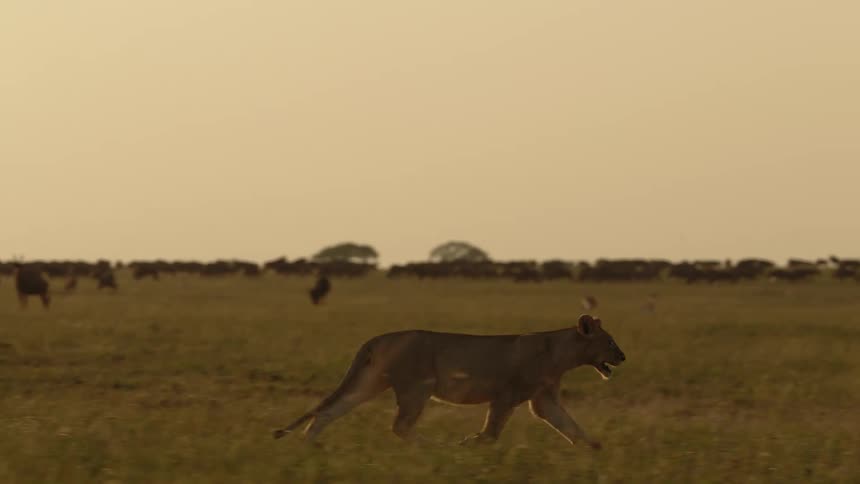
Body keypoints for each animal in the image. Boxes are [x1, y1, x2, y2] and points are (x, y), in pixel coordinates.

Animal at [273, 314, 625, 448]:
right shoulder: (506, 394)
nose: (623, 356)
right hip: (418, 387)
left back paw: (310, 445)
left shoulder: (544, 399)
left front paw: (595, 451)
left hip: (372, 382)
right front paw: (467, 445)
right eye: (609, 342)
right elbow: (490, 433)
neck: (561, 353)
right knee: (400, 426)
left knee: (330, 411)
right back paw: (435, 447)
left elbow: (571, 426)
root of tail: (380, 337)